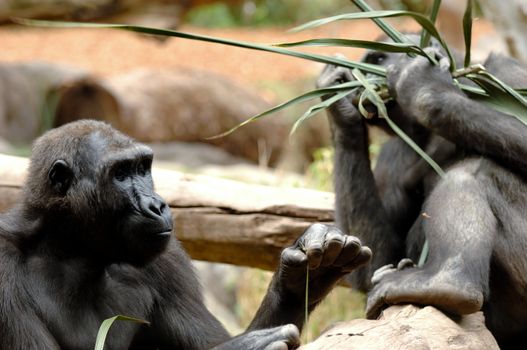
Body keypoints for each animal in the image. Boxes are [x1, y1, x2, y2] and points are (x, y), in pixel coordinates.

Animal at [0, 119, 372, 348]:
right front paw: (248, 346)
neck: (72, 250)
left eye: (142, 168)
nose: (158, 205)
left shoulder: (168, 261)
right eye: (120, 174)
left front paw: (305, 275)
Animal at [320, 41, 527, 348]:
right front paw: (339, 104)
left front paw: (425, 89)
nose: (366, 75)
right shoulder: (390, 159)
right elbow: (375, 260)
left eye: (378, 58)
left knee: (473, 171)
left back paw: (448, 281)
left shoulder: (509, 73)